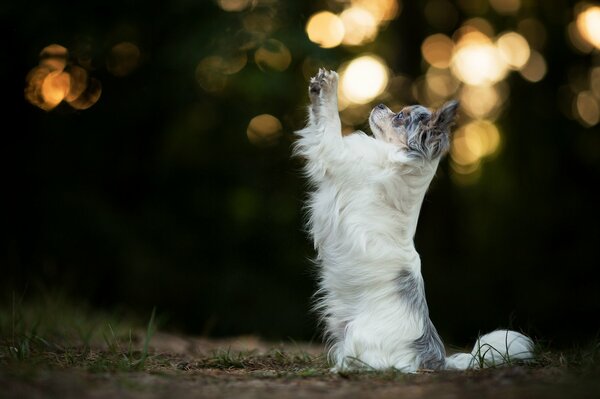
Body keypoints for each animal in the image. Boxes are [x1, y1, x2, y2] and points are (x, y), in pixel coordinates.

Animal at [292, 69, 532, 372]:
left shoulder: (336, 154)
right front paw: (317, 90)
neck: (400, 160)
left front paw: (329, 88)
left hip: (360, 335)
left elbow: (330, 125)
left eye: (400, 117)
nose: (381, 104)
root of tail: (436, 359)